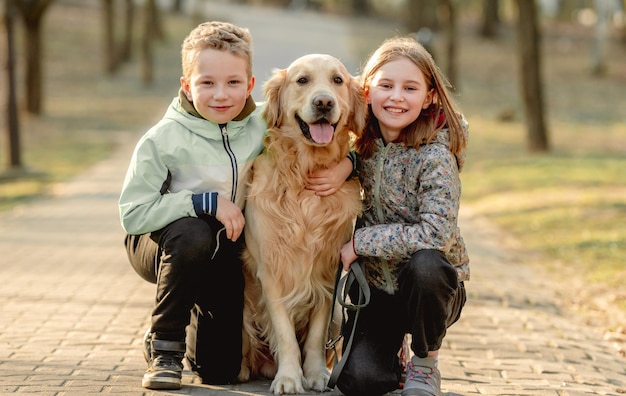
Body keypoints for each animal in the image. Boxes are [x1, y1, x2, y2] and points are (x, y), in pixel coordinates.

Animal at [238, 54, 366, 394]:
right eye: (302, 80)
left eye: (337, 80)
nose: (324, 102)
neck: (305, 173)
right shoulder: (271, 270)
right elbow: (284, 334)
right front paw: (289, 378)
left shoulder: (327, 271)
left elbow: (316, 336)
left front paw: (316, 373)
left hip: (340, 314)